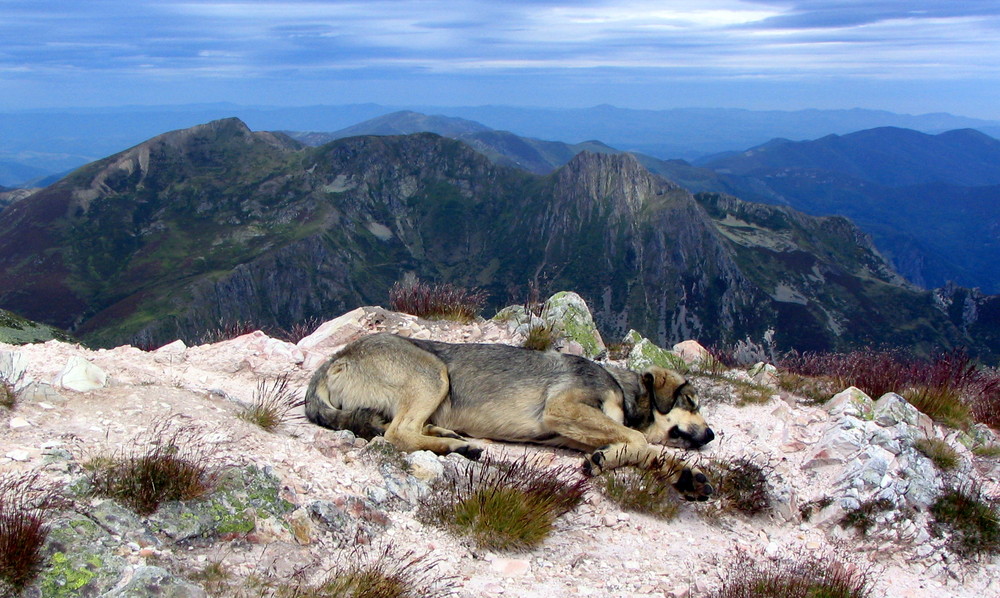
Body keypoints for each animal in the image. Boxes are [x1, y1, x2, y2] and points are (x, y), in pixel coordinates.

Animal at [302, 336, 712, 500]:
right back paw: (455, 446)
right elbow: (639, 440)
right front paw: (607, 459)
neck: (623, 390)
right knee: (398, 434)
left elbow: (648, 450)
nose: (710, 436)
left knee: (400, 427)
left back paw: (451, 438)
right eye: (692, 401)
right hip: (434, 373)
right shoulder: (564, 410)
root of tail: (334, 360)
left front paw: (686, 476)